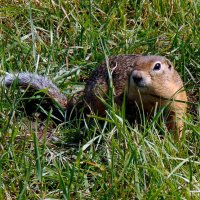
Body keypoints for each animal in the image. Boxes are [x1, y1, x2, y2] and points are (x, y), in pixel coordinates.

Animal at [1, 54, 188, 139]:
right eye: (133, 66)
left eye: (157, 66)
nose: (136, 76)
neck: (152, 97)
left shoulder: (176, 103)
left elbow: (176, 124)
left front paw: (177, 143)